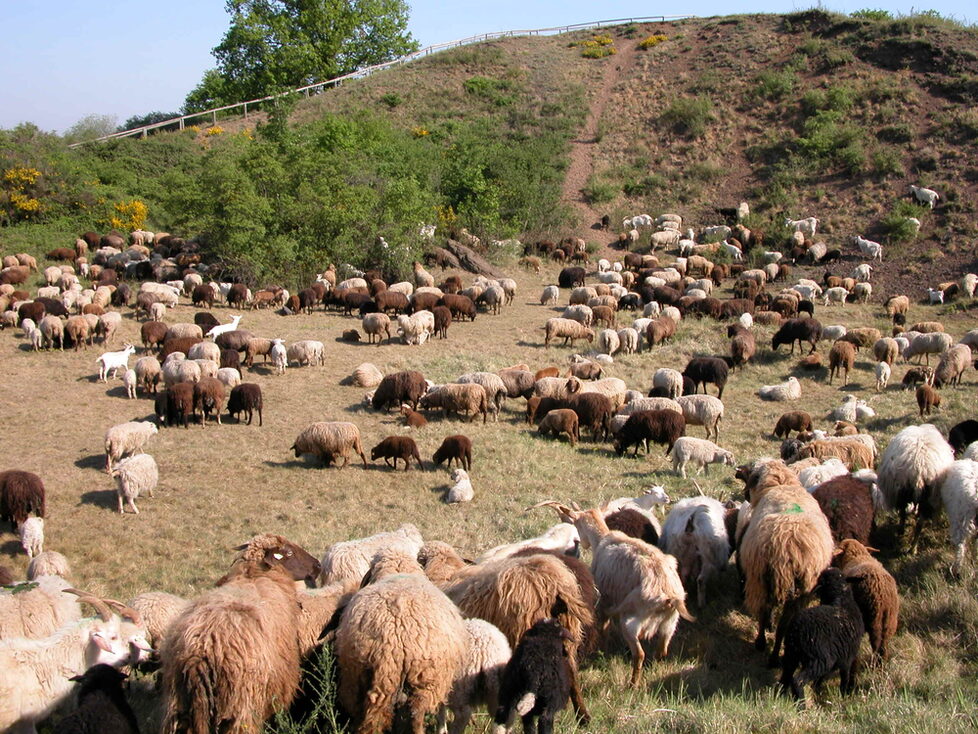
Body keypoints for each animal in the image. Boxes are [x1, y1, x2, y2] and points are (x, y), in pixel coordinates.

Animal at [160, 536, 320, 734]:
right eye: (289, 552)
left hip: (178, 707)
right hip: (242, 707)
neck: (255, 576)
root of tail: (200, 652)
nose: (317, 565)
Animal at [740, 462, 832, 664]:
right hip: (802, 592)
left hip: (760, 577)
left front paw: (768, 626)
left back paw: (761, 642)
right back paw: (775, 655)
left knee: (763, 610)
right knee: (784, 625)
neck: (780, 484)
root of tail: (789, 549)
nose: (745, 495)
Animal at [776, 568, 860, 700]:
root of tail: (797, 629)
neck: (839, 600)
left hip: (791, 654)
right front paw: (843, 696)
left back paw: (781, 698)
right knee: (797, 681)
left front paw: (817, 691)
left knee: (784, 679)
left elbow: (820, 680)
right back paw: (801, 703)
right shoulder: (847, 658)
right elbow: (844, 678)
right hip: (818, 659)